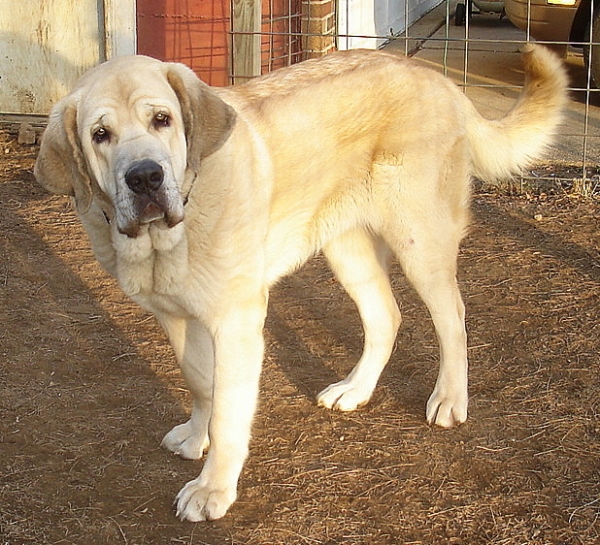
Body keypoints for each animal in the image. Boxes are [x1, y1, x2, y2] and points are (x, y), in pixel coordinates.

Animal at [35, 47, 568, 524]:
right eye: (100, 135)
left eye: (162, 120)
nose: (144, 177)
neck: (170, 233)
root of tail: (437, 76)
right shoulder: (176, 318)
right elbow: (201, 383)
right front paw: (195, 436)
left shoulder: (237, 322)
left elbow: (229, 412)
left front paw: (213, 489)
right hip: (346, 248)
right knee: (386, 316)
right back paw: (355, 390)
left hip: (420, 239)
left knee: (452, 318)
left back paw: (450, 399)